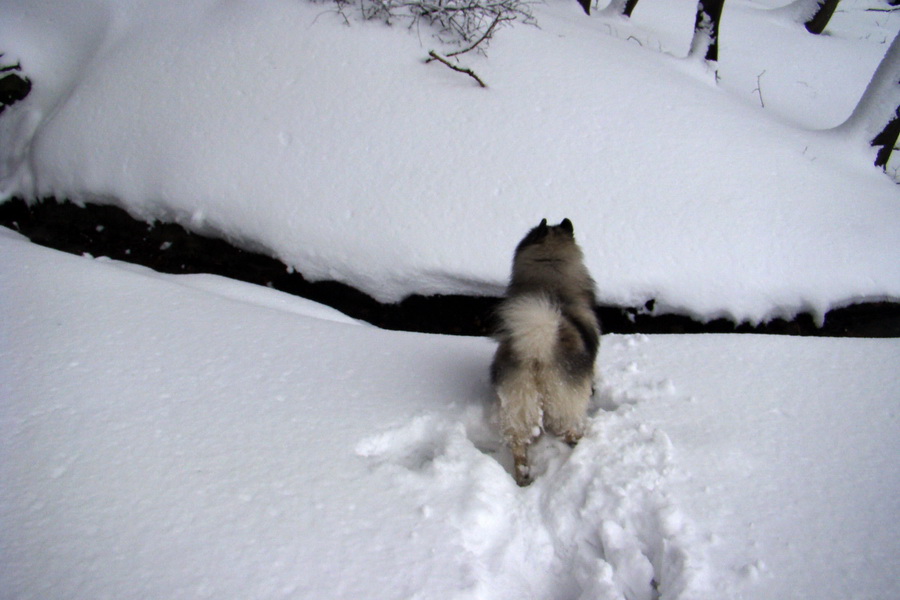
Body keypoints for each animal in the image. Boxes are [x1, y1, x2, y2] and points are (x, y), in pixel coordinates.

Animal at [488, 218, 600, 486]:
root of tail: (537, 350)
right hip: (564, 403)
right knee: (568, 431)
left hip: (519, 404)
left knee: (519, 445)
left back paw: (523, 476)